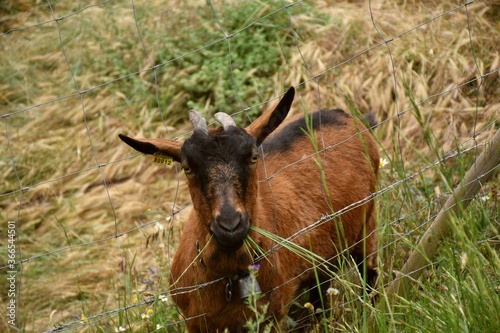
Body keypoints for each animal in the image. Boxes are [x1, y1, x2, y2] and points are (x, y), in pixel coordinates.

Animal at [120, 87, 378, 330]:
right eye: (187, 167)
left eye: (253, 157)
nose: (230, 224)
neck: (226, 276)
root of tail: (342, 114)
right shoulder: (194, 322)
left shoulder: (271, 317)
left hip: (368, 225)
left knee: (369, 275)